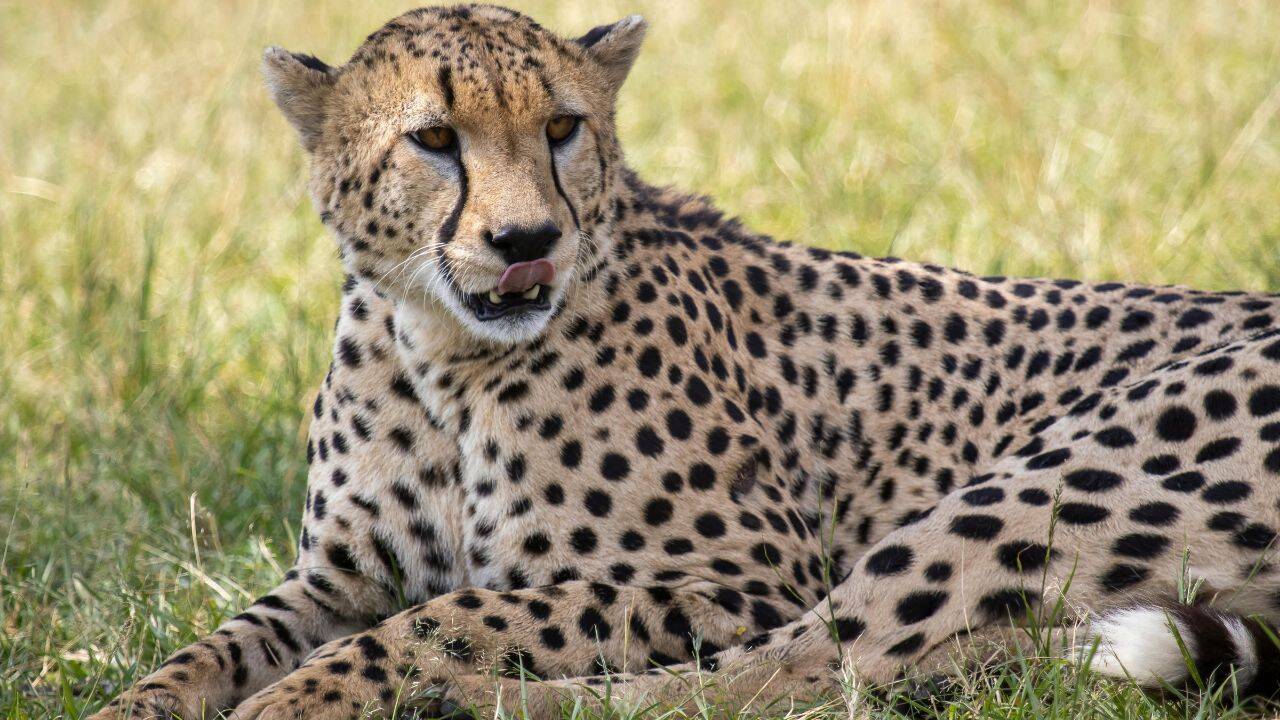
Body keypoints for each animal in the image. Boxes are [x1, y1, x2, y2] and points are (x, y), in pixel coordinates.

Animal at [92, 4, 1280, 719]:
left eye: (562, 127)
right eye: (433, 139)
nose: (526, 241)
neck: (443, 357)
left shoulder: (745, 572)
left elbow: (467, 614)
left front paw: (307, 700)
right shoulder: (338, 578)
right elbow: (220, 642)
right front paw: (138, 705)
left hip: (1052, 482)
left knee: (800, 676)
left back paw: (487, 708)